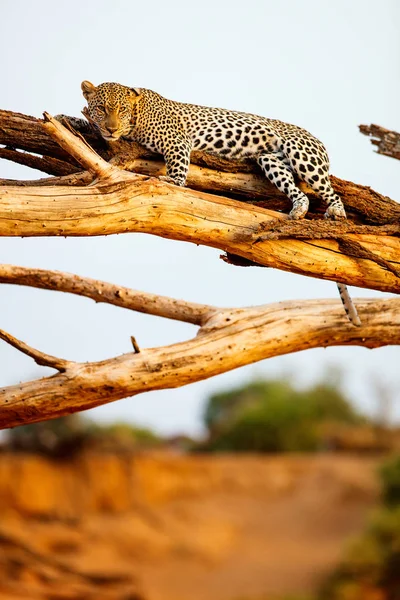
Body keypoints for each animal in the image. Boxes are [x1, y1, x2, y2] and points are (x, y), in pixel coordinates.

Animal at [70, 82, 360, 326]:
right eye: (101, 108)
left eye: (121, 109)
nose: (111, 128)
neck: (137, 116)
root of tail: (319, 144)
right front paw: (69, 119)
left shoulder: (177, 142)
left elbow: (179, 172)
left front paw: (172, 181)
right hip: (271, 160)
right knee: (303, 195)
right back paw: (297, 211)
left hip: (301, 153)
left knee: (332, 193)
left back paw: (336, 214)